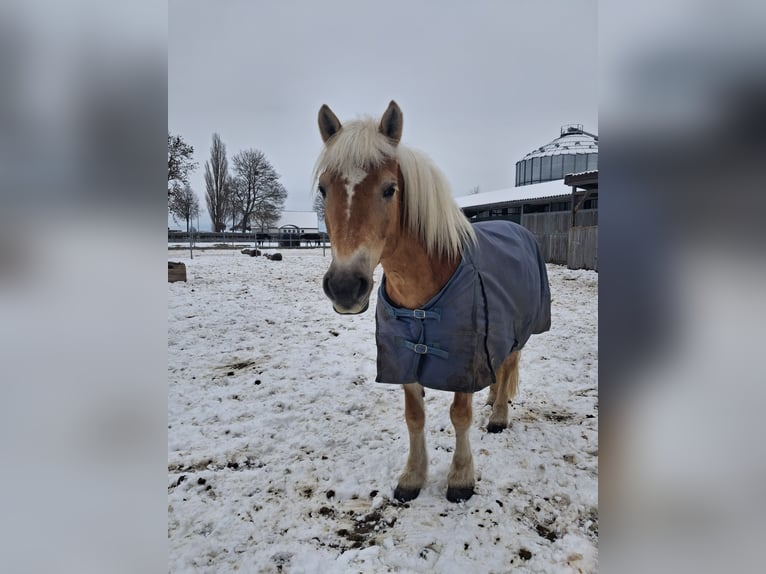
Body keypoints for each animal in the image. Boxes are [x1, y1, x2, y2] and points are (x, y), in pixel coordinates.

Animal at [314, 101, 551, 502]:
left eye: (390, 189)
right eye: (323, 189)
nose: (345, 287)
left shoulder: (463, 361)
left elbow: (460, 415)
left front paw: (461, 478)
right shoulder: (404, 357)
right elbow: (414, 416)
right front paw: (413, 476)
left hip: (521, 328)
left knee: (509, 365)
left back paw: (498, 415)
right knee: (499, 368)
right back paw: (492, 399)